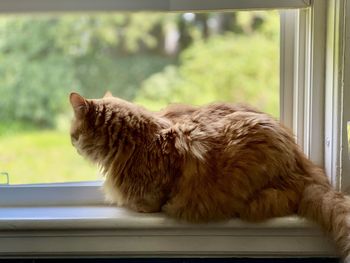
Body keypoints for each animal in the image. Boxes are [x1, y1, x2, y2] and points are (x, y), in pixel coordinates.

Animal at [69, 92, 350, 260]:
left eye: (73, 134)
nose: (72, 144)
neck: (137, 140)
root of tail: (303, 165)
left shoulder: (154, 195)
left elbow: (146, 203)